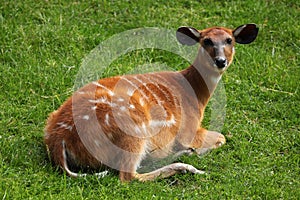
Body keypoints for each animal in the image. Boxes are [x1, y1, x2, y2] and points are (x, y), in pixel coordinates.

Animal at [44, 23, 258, 181]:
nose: (221, 61)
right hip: (133, 128)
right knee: (128, 175)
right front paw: (195, 151)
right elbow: (221, 138)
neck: (197, 97)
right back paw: (185, 165)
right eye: (206, 41)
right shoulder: (188, 130)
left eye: (229, 40)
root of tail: (59, 139)